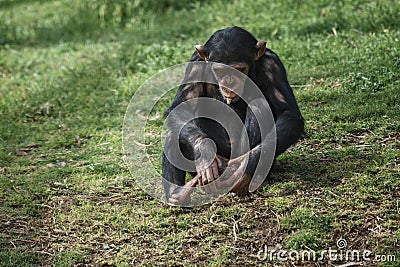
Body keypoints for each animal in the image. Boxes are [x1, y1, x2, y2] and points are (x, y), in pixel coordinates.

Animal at [162, 26, 304, 205]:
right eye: (220, 71)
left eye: (239, 70)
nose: (229, 82)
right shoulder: (195, 64)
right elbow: (181, 105)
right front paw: (205, 152)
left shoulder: (273, 64)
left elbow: (288, 113)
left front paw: (246, 165)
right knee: (176, 131)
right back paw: (178, 192)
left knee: (258, 105)